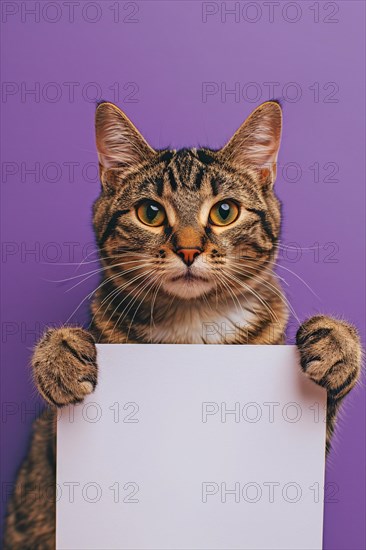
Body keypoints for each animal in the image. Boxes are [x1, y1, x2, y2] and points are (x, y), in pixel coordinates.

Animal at [4, 102, 362, 548]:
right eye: (150, 213)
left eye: (225, 211)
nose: (189, 249)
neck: (191, 328)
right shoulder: (49, 454)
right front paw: (58, 355)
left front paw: (337, 343)